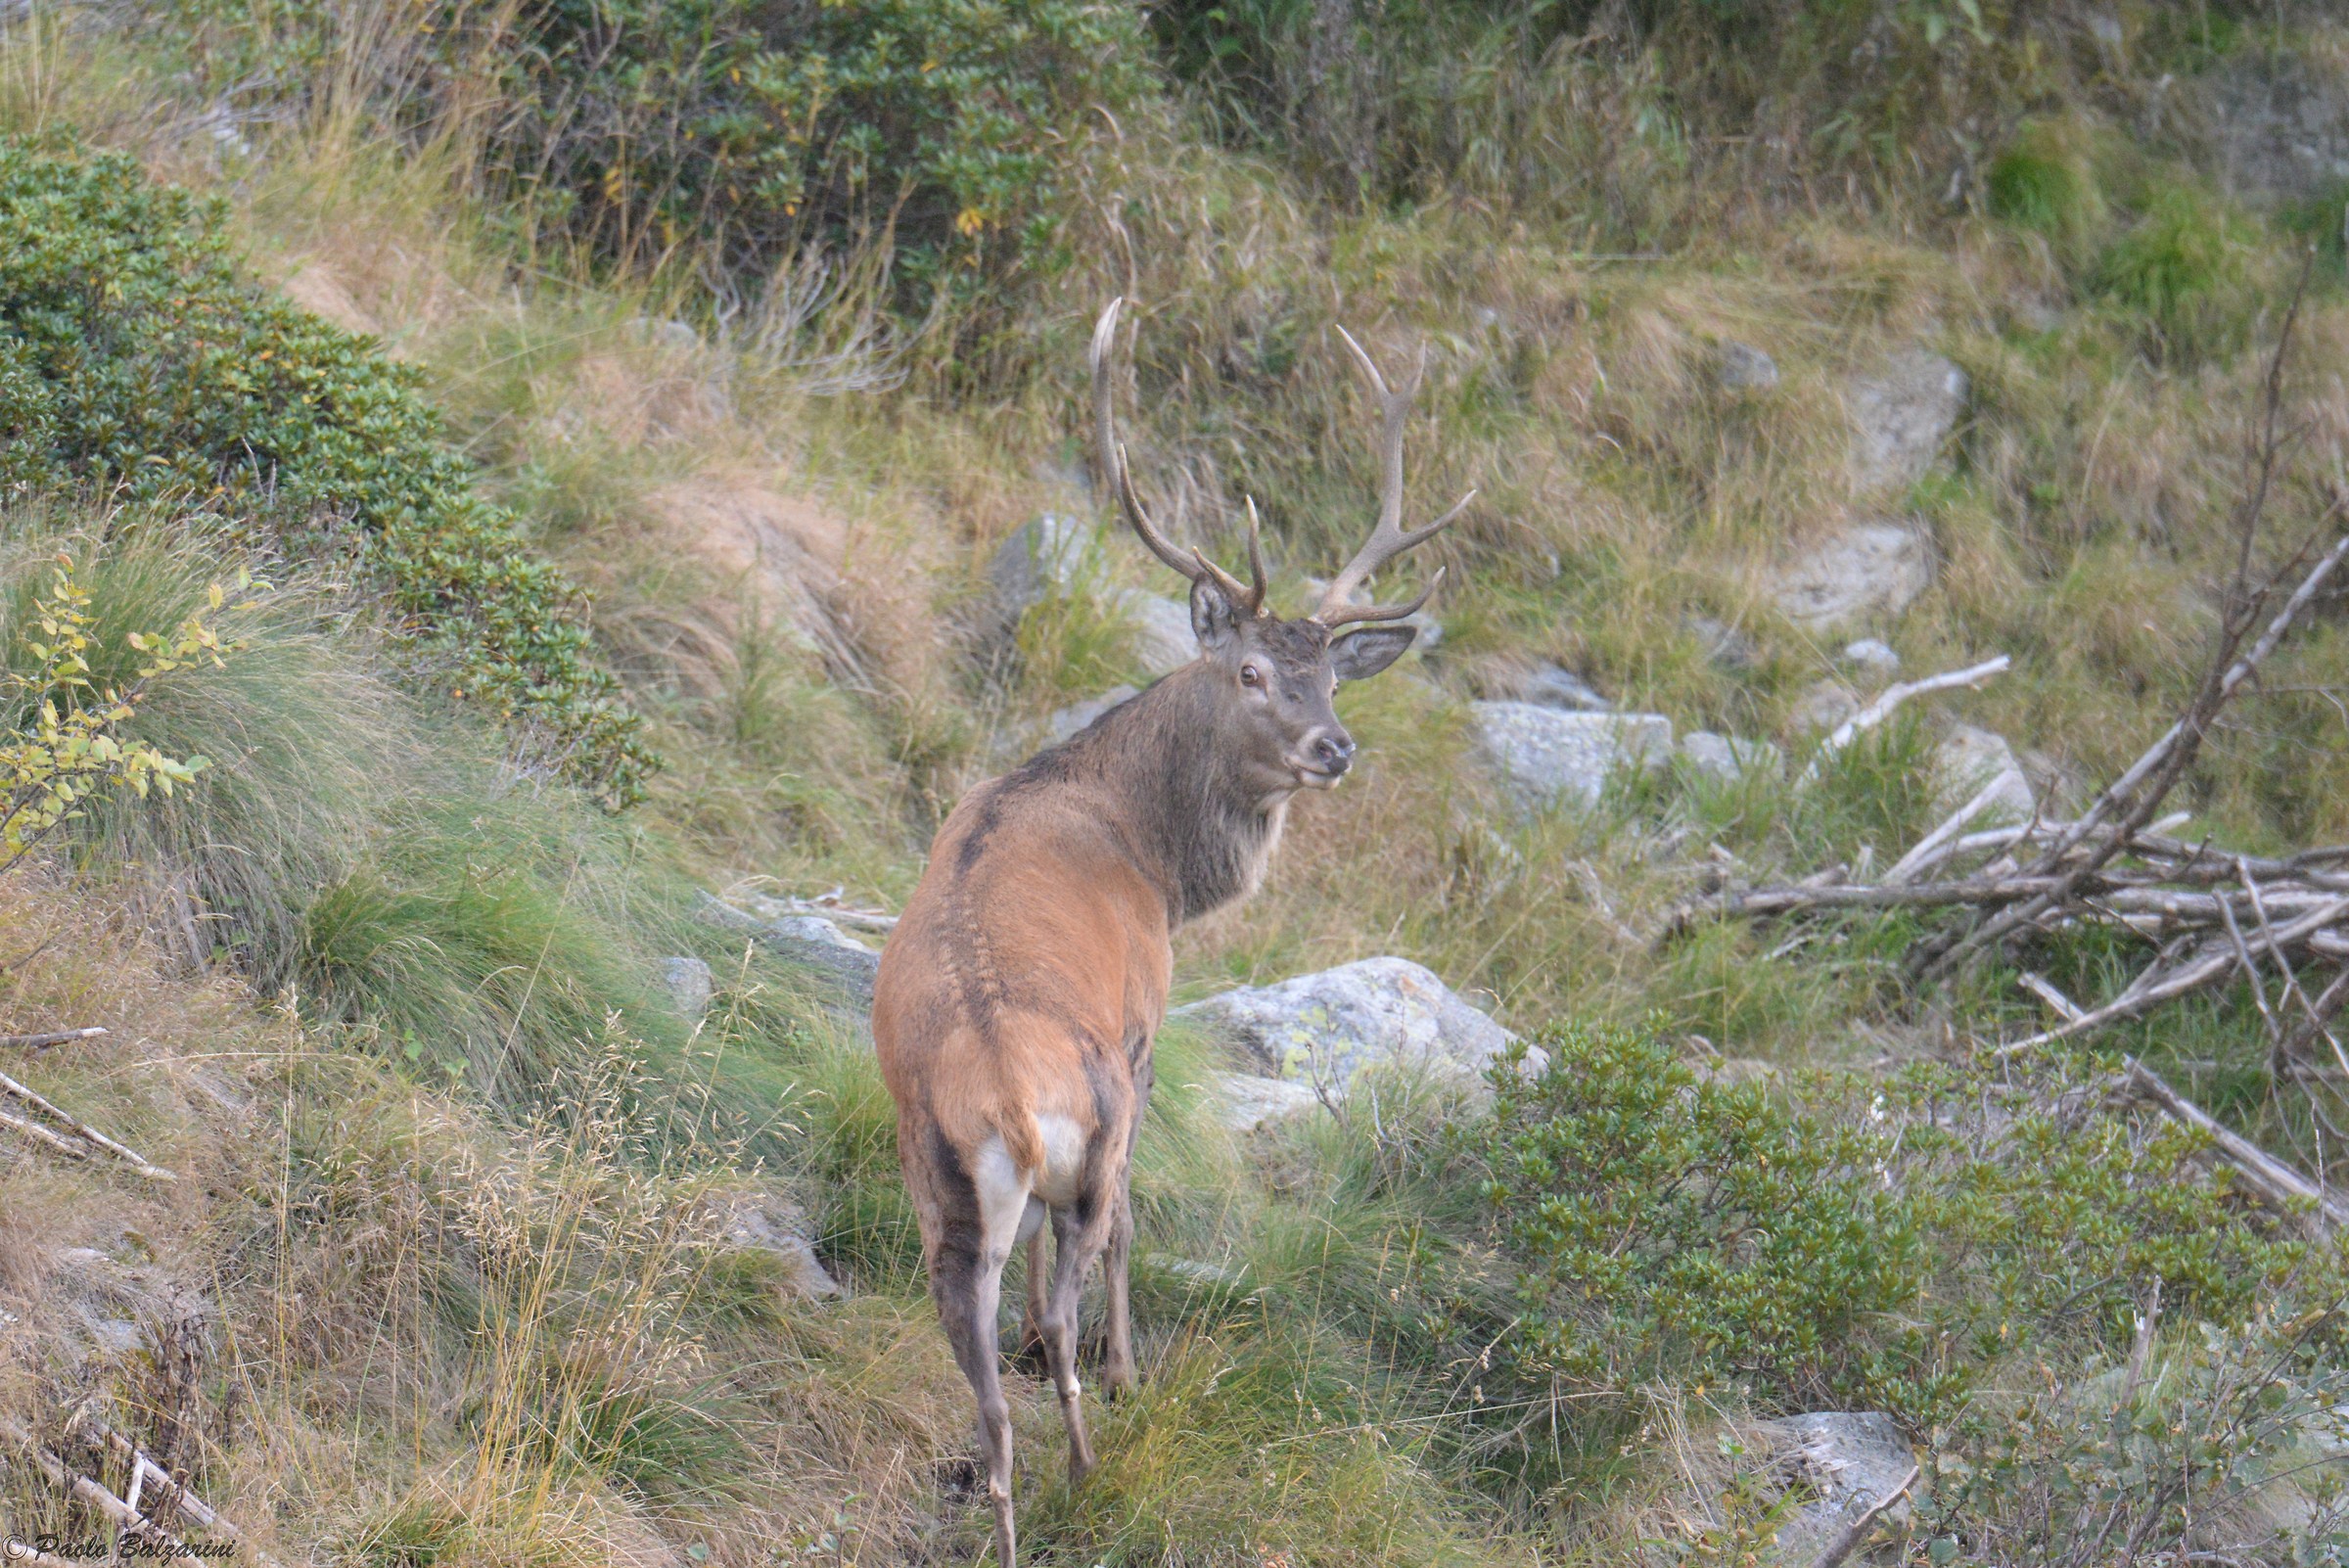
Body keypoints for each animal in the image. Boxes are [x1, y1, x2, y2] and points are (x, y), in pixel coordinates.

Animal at [870, 297, 1471, 1567]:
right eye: (1249, 670)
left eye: (1334, 679)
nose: (1336, 749)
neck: (1142, 843)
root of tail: (1007, 1104)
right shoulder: (1145, 1022)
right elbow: (1137, 1220)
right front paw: (1127, 1368)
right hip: (1088, 1124)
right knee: (1079, 1271)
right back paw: (1097, 1456)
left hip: (937, 1187)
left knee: (986, 1382)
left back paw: (1013, 1500)